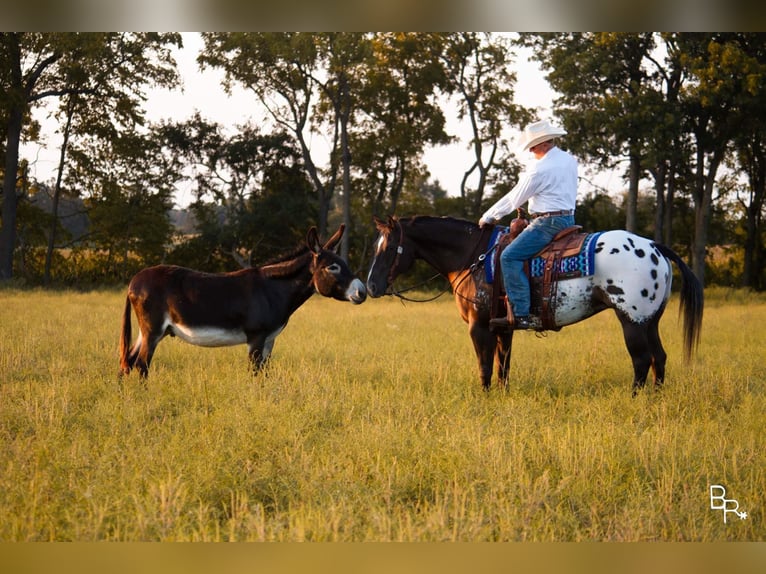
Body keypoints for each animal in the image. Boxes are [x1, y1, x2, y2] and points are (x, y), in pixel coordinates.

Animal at [121, 226, 368, 382]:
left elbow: (265, 374)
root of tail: (134, 280)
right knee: (141, 365)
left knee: (128, 361)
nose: (363, 292)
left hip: (150, 331)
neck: (272, 290)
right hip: (153, 330)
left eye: (344, 264)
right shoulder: (256, 338)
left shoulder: (269, 340)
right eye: (332, 267)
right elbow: (254, 373)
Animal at [368, 216, 704, 396]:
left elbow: (485, 367)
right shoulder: (503, 328)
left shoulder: (479, 327)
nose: (370, 286)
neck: (472, 257)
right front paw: (501, 396)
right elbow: (503, 366)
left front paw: (484, 397)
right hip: (650, 321)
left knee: (641, 360)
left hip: (631, 320)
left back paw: (634, 398)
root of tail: (654, 246)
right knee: (659, 358)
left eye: (389, 247)